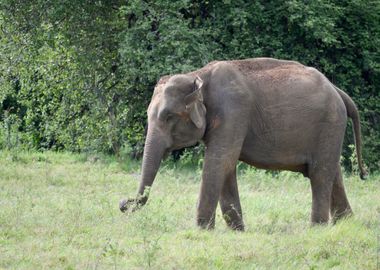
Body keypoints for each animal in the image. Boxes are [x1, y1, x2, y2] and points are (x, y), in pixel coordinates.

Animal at [119, 57, 368, 230]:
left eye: (169, 116)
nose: (123, 203)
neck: (198, 75)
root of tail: (337, 90)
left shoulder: (233, 111)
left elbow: (219, 161)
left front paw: (202, 230)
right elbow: (226, 166)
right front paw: (237, 231)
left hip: (330, 123)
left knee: (320, 174)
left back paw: (317, 228)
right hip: (329, 129)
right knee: (332, 171)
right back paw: (346, 223)